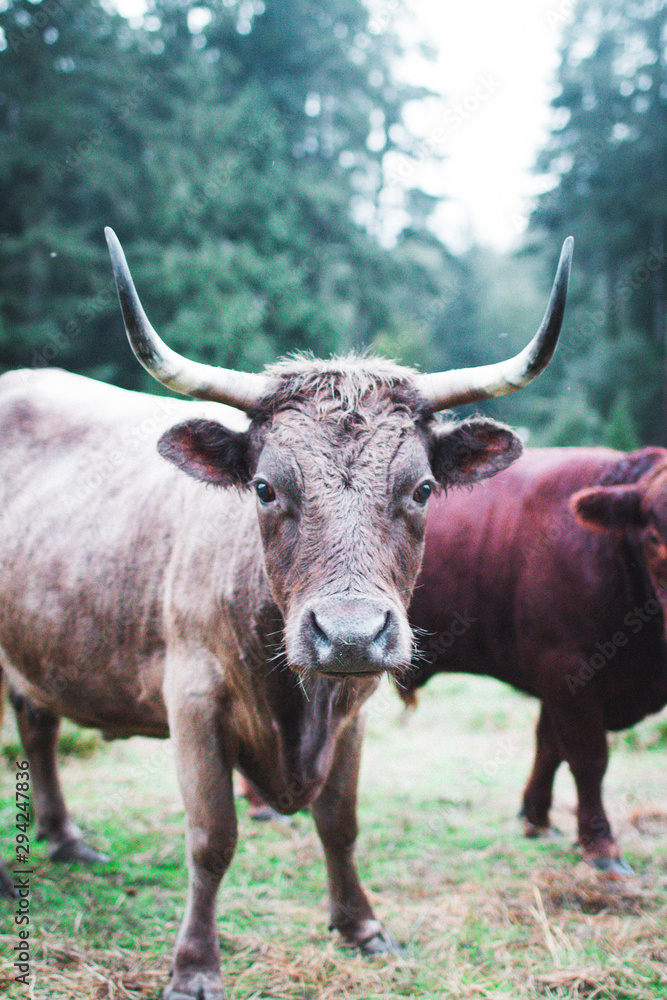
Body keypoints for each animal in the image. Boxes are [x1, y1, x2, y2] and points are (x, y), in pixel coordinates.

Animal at [0, 230, 576, 996]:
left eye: (423, 488)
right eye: (265, 488)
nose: (351, 635)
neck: (296, 703)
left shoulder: (353, 709)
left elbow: (340, 823)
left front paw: (361, 927)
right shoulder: (193, 701)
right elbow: (212, 839)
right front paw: (194, 966)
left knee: (37, 727)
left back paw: (65, 840)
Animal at [402, 446, 667, 876]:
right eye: (656, 536)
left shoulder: (560, 682)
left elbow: (549, 747)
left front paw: (537, 818)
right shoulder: (568, 669)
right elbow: (588, 758)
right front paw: (601, 845)